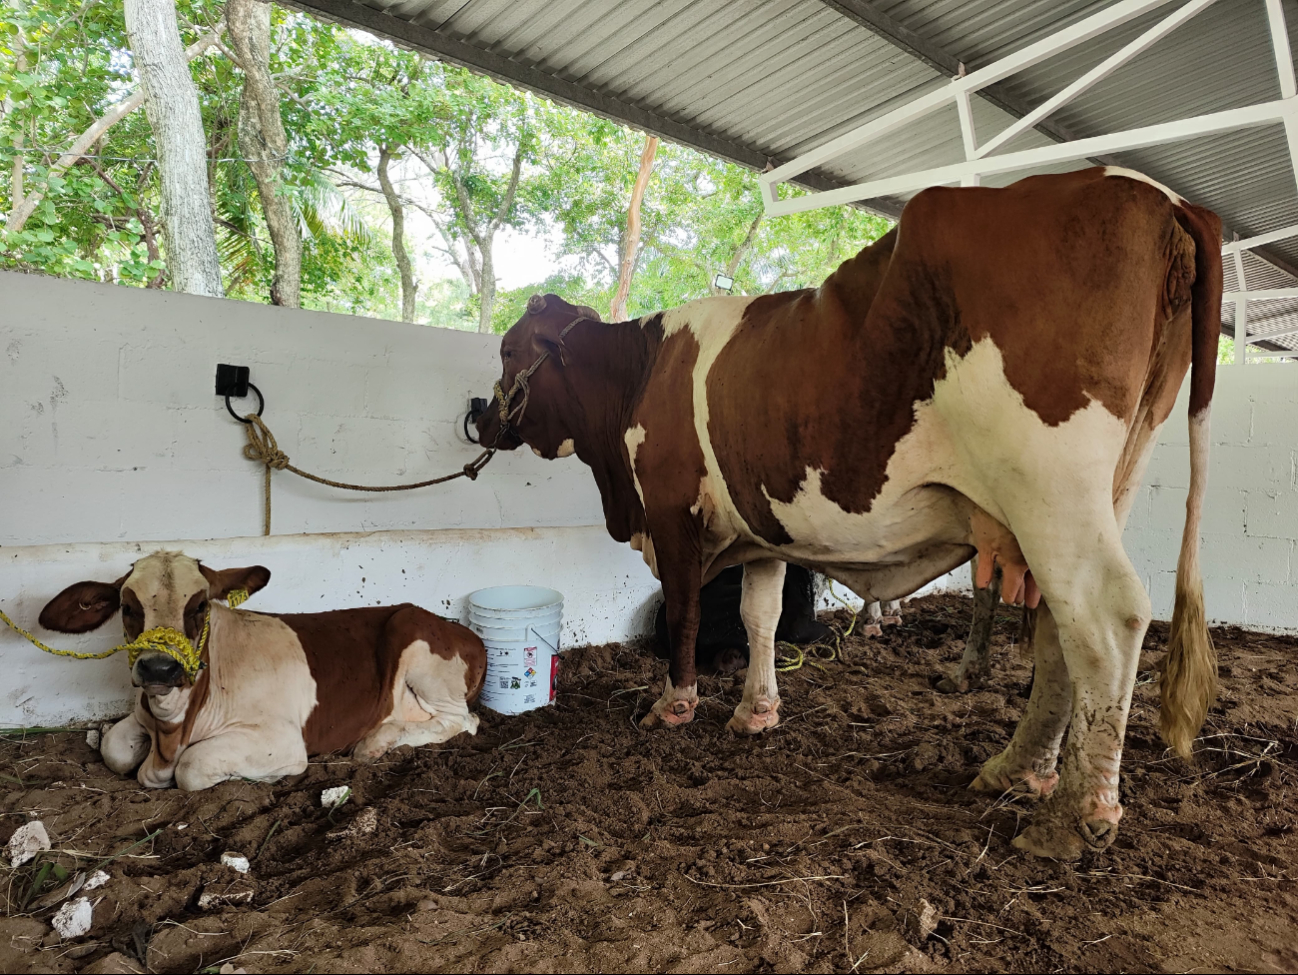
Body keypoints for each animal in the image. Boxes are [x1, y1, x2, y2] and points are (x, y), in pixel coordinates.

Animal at [41, 553, 488, 789]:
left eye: (199, 605)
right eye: (127, 606)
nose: (160, 668)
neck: (173, 730)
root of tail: (459, 629)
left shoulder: (283, 741)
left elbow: (192, 767)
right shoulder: (142, 714)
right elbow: (114, 749)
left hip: (418, 647)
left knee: (464, 721)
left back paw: (375, 742)